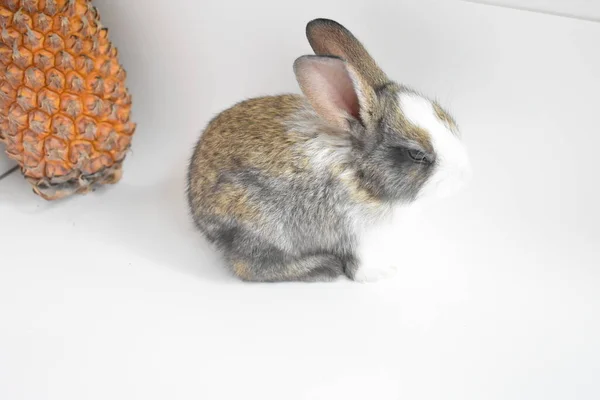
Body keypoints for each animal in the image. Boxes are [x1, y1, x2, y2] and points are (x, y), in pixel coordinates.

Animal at [185, 18, 472, 282]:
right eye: (417, 155)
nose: (465, 173)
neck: (359, 172)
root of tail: (197, 210)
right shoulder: (353, 231)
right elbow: (359, 266)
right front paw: (382, 271)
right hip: (260, 224)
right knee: (247, 266)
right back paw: (321, 267)